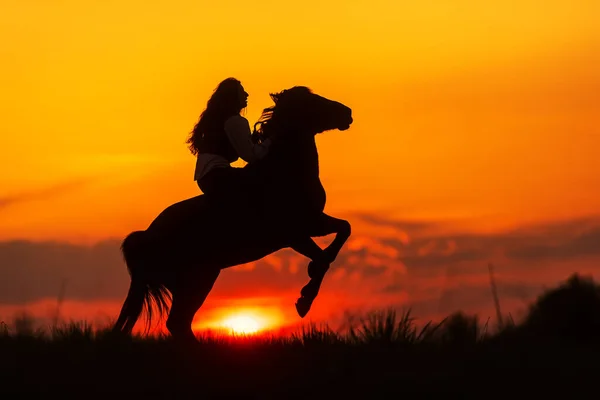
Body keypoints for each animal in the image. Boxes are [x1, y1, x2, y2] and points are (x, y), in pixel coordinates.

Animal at [113, 86, 352, 340]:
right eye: (311, 101)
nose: (347, 113)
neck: (282, 171)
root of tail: (146, 235)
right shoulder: (294, 235)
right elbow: (324, 258)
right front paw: (304, 299)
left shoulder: (313, 223)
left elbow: (343, 230)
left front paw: (307, 287)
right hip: (197, 278)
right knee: (177, 322)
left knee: (176, 323)